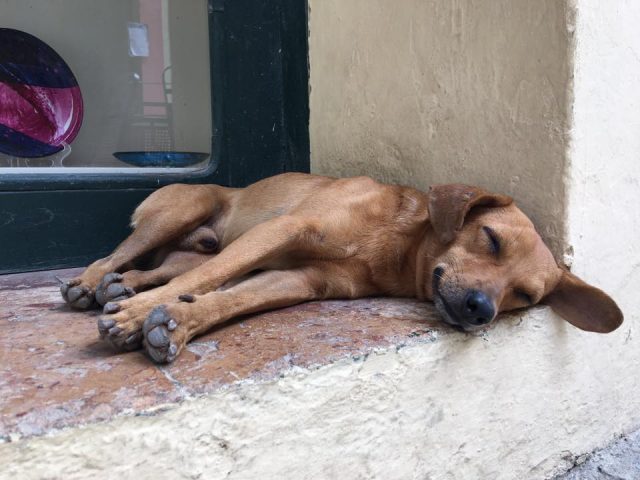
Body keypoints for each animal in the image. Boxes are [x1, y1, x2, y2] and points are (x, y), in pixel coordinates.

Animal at [58, 173, 620, 364]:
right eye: (491, 238)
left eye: (524, 297)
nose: (481, 309)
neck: (393, 242)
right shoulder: (284, 230)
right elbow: (205, 284)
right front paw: (141, 317)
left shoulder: (300, 280)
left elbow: (228, 298)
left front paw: (174, 322)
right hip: (180, 210)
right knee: (120, 256)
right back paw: (89, 283)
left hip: (191, 247)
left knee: (161, 270)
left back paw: (121, 288)